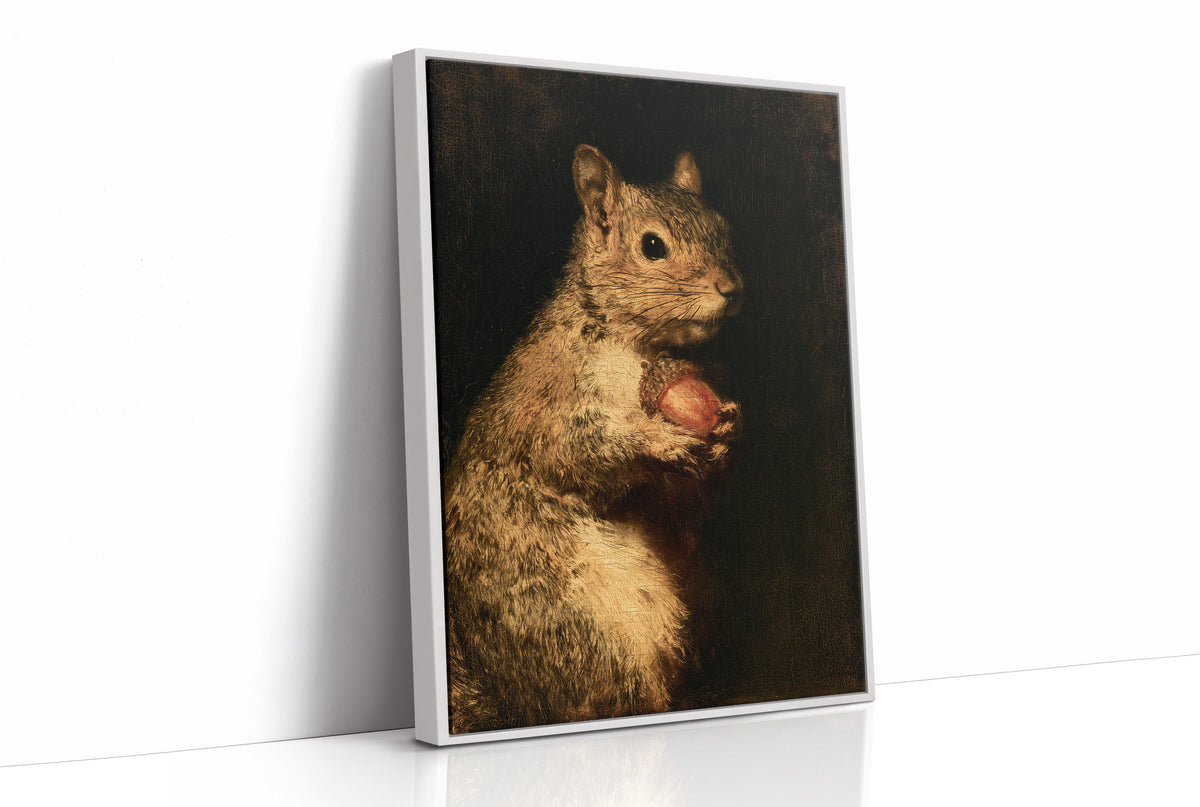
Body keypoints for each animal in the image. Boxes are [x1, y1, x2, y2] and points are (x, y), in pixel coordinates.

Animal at [443, 144, 744, 733]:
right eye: (652, 246)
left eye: (723, 227)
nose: (731, 288)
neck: (635, 342)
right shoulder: (551, 408)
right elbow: (580, 452)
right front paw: (658, 441)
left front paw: (726, 428)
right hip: (586, 628)